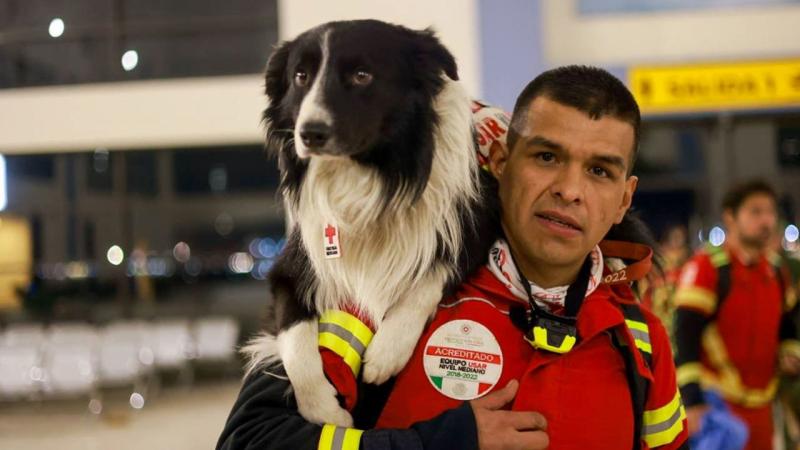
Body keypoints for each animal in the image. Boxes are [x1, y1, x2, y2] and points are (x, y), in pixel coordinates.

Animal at [244, 19, 500, 428]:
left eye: (362, 75)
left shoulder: (476, 224)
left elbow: (429, 277)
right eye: (301, 76)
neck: (367, 178)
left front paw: (387, 351)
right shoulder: (290, 267)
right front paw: (324, 409)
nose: (309, 133)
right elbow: (295, 339)